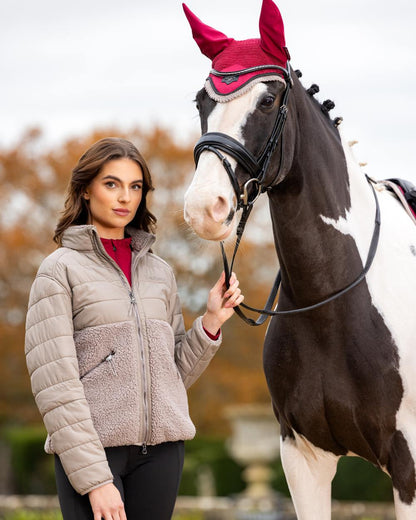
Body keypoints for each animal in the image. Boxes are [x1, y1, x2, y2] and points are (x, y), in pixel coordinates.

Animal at [183, 1, 416, 520]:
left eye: (268, 101)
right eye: (201, 101)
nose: (204, 207)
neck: (332, 300)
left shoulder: (410, 465)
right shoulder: (303, 458)